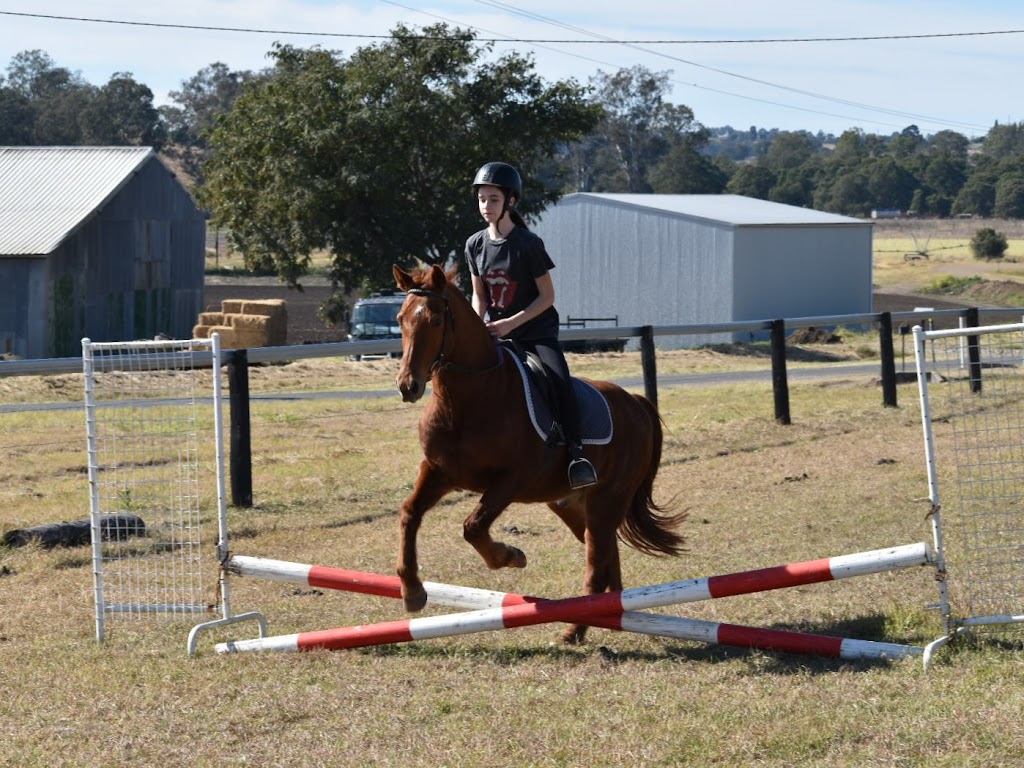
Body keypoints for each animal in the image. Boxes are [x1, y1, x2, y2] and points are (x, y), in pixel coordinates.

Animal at [391, 264, 688, 643]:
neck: (468, 400)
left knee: (597, 558)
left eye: (436, 321)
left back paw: (576, 628)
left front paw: (510, 556)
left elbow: (473, 526)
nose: (408, 385)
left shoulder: (511, 480)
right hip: (572, 504)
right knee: (605, 550)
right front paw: (413, 591)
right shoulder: (438, 471)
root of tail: (636, 402)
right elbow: (409, 514)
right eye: (400, 319)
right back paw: (611, 611)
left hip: (609, 497)